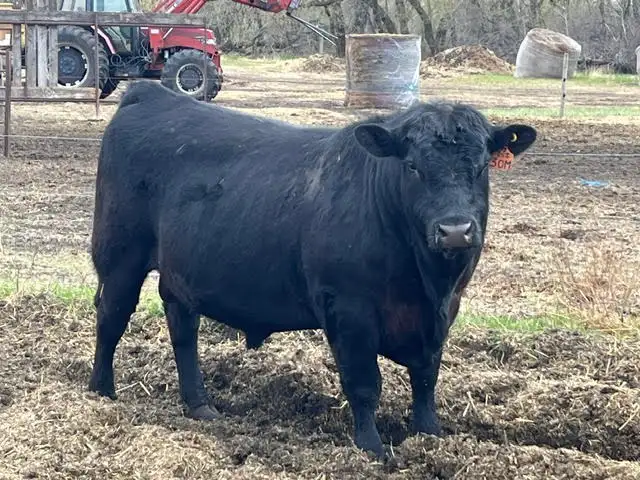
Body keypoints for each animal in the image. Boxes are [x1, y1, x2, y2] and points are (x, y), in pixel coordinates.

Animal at [88, 80, 536, 458]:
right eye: (412, 167)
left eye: (481, 167)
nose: (455, 230)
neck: (426, 284)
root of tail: (152, 93)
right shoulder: (350, 310)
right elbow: (364, 384)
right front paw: (372, 449)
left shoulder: (444, 311)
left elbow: (426, 377)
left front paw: (430, 436)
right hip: (120, 257)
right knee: (111, 318)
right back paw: (101, 392)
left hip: (179, 273)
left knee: (183, 331)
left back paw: (200, 405)